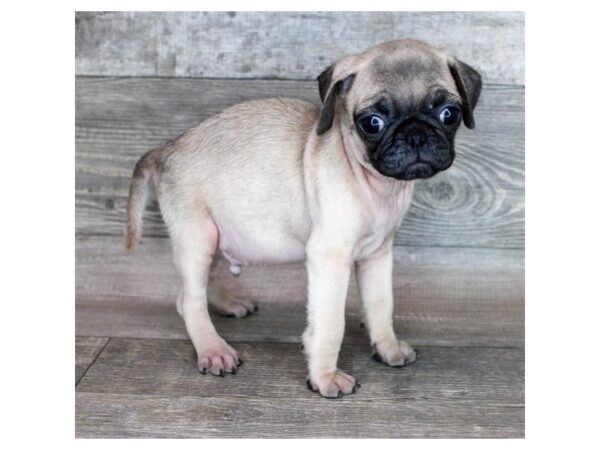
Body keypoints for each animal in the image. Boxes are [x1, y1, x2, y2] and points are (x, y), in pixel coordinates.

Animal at [124, 38, 480, 398]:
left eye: (449, 114)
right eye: (372, 122)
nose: (416, 134)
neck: (375, 184)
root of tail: (166, 150)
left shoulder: (377, 257)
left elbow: (382, 305)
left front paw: (387, 348)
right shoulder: (330, 258)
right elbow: (330, 323)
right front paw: (325, 377)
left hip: (218, 235)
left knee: (198, 286)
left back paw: (228, 304)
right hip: (198, 238)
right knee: (189, 300)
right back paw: (213, 349)